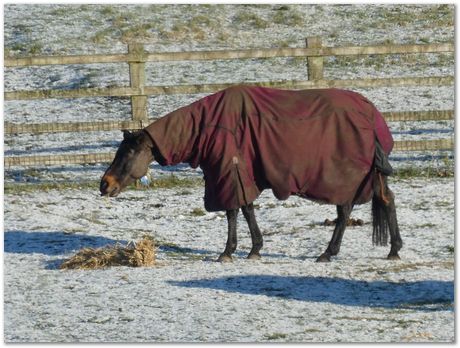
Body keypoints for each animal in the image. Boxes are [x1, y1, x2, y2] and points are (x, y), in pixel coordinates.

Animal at [100, 85, 402, 262]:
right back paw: (393, 249)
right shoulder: (231, 175)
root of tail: (371, 114)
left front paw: (233, 251)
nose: (105, 184)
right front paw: (250, 248)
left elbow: (236, 210)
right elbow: (242, 210)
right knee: (385, 201)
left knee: (346, 210)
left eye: (128, 153)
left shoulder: (229, 173)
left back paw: (329, 253)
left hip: (345, 178)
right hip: (369, 177)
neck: (210, 126)